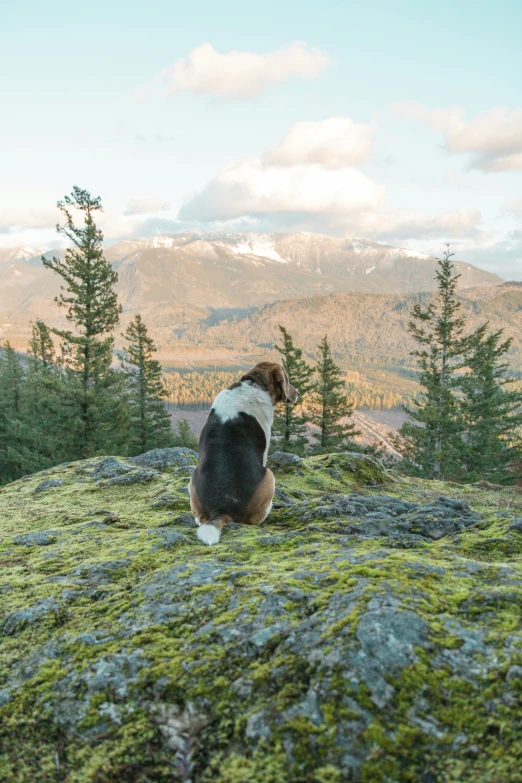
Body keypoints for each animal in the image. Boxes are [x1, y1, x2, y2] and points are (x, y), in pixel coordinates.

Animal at [189, 362, 298, 544]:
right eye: (288, 379)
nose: (297, 393)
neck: (254, 384)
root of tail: (222, 509)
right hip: (269, 476)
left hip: (192, 481)